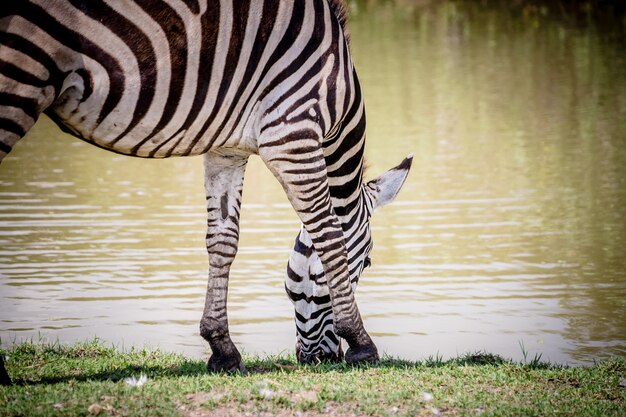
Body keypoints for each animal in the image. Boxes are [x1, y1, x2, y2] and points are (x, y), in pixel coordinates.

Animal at [0, 0, 410, 380]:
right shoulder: (292, 131)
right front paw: (361, 343)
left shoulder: (227, 148)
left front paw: (222, 349)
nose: (325, 358)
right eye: (368, 262)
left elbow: (223, 240)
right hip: (21, 72)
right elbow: (329, 235)